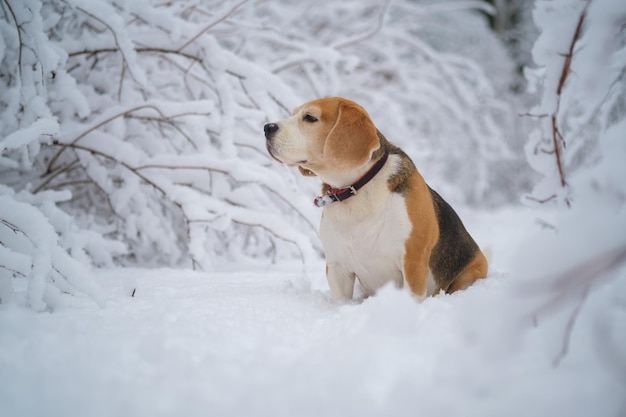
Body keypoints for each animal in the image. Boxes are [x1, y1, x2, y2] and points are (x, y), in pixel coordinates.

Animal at [264, 96, 488, 300]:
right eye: (293, 113)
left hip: (469, 274)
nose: (267, 127)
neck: (356, 189)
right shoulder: (337, 267)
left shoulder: (413, 263)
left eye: (309, 117)